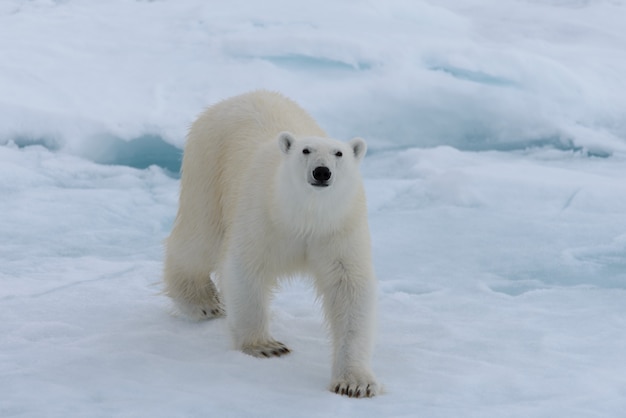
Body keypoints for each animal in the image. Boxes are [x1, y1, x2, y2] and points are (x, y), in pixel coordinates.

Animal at [166, 90, 378, 396]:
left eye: (339, 153)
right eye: (305, 150)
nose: (321, 172)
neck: (304, 216)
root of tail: (236, 98)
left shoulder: (338, 229)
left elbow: (349, 288)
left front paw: (355, 382)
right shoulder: (262, 216)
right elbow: (245, 269)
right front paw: (266, 347)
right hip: (207, 167)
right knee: (199, 239)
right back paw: (203, 302)